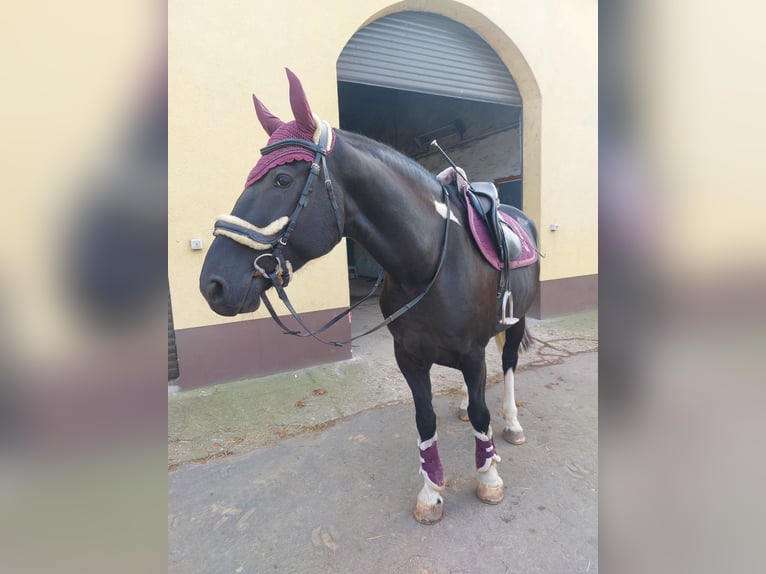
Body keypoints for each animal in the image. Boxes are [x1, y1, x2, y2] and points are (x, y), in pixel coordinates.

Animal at [201, 68, 544, 528]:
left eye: (282, 179)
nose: (213, 283)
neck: (430, 261)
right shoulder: (409, 356)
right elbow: (425, 419)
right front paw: (431, 493)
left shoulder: (471, 354)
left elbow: (481, 414)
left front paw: (488, 477)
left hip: (517, 320)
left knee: (507, 366)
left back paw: (512, 424)